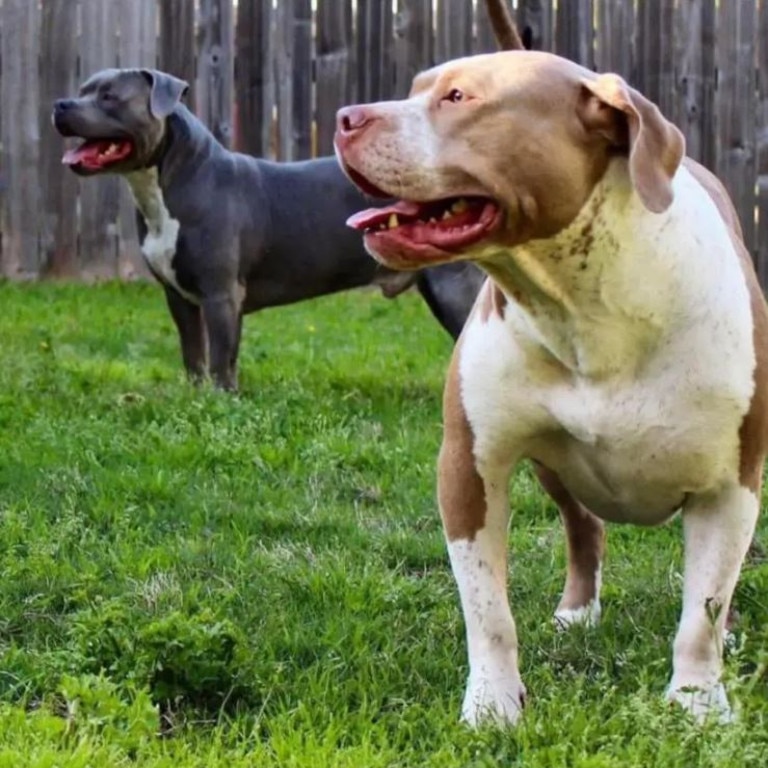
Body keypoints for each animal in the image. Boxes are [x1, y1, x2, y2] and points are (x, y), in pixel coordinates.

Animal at [54, 67, 484, 390]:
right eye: (83, 90)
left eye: (109, 96)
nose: (60, 104)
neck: (168, 183)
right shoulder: (179, 297)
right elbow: (193, 354)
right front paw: (194, 397)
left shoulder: (221, 295)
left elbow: (221, 358)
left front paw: (220, 403)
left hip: (453, 288)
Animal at [332, 52, 764, 728]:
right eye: (416, 89)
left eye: (458, 97)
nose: (346, 117)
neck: (585, 304)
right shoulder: (470, 465)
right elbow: (487, 609)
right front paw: (493, 705)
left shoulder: (731, 482)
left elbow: (703, 611)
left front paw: (697, 705)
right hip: (556, 468)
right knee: (585, 529)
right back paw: (578, 613)